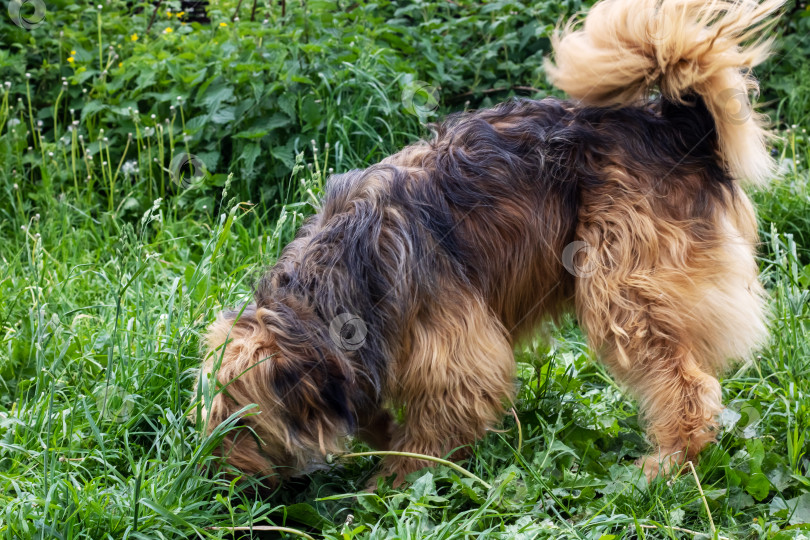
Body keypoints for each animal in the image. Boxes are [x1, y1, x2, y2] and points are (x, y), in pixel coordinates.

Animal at [193, 0, 780, 486]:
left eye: (243, 425)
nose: (214, 482)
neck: (336, 284)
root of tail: (677, 127)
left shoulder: (453, 351)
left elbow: (441, 416)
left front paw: (394, 479)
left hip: (625, 284)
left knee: (689, 386)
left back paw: (668, 464)